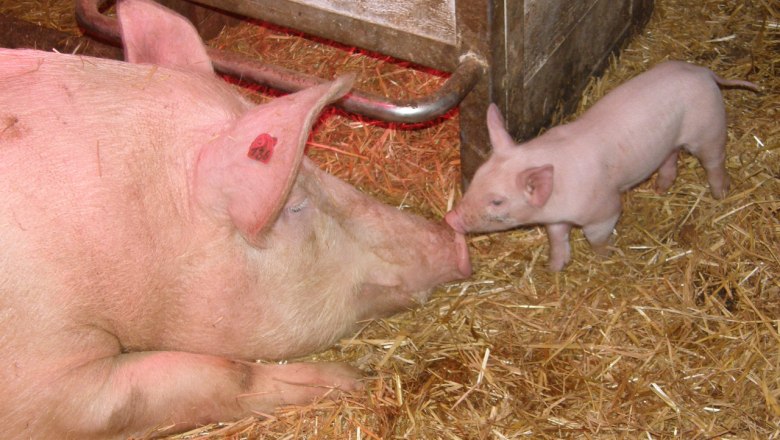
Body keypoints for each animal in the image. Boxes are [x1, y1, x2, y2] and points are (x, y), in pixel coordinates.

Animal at [446, 61, 758, 271]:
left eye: (497, 201)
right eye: (476, 178)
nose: (451, 218)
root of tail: (704, 72)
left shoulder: (605, 209)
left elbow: (596, 235)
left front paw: (603, 257)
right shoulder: (556, 218)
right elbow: (557, 239)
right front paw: (554, 268)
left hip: (709, 129)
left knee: (714, 161)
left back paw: (720, 195)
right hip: (670, 141)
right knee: (671, 156)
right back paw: (660, 189)